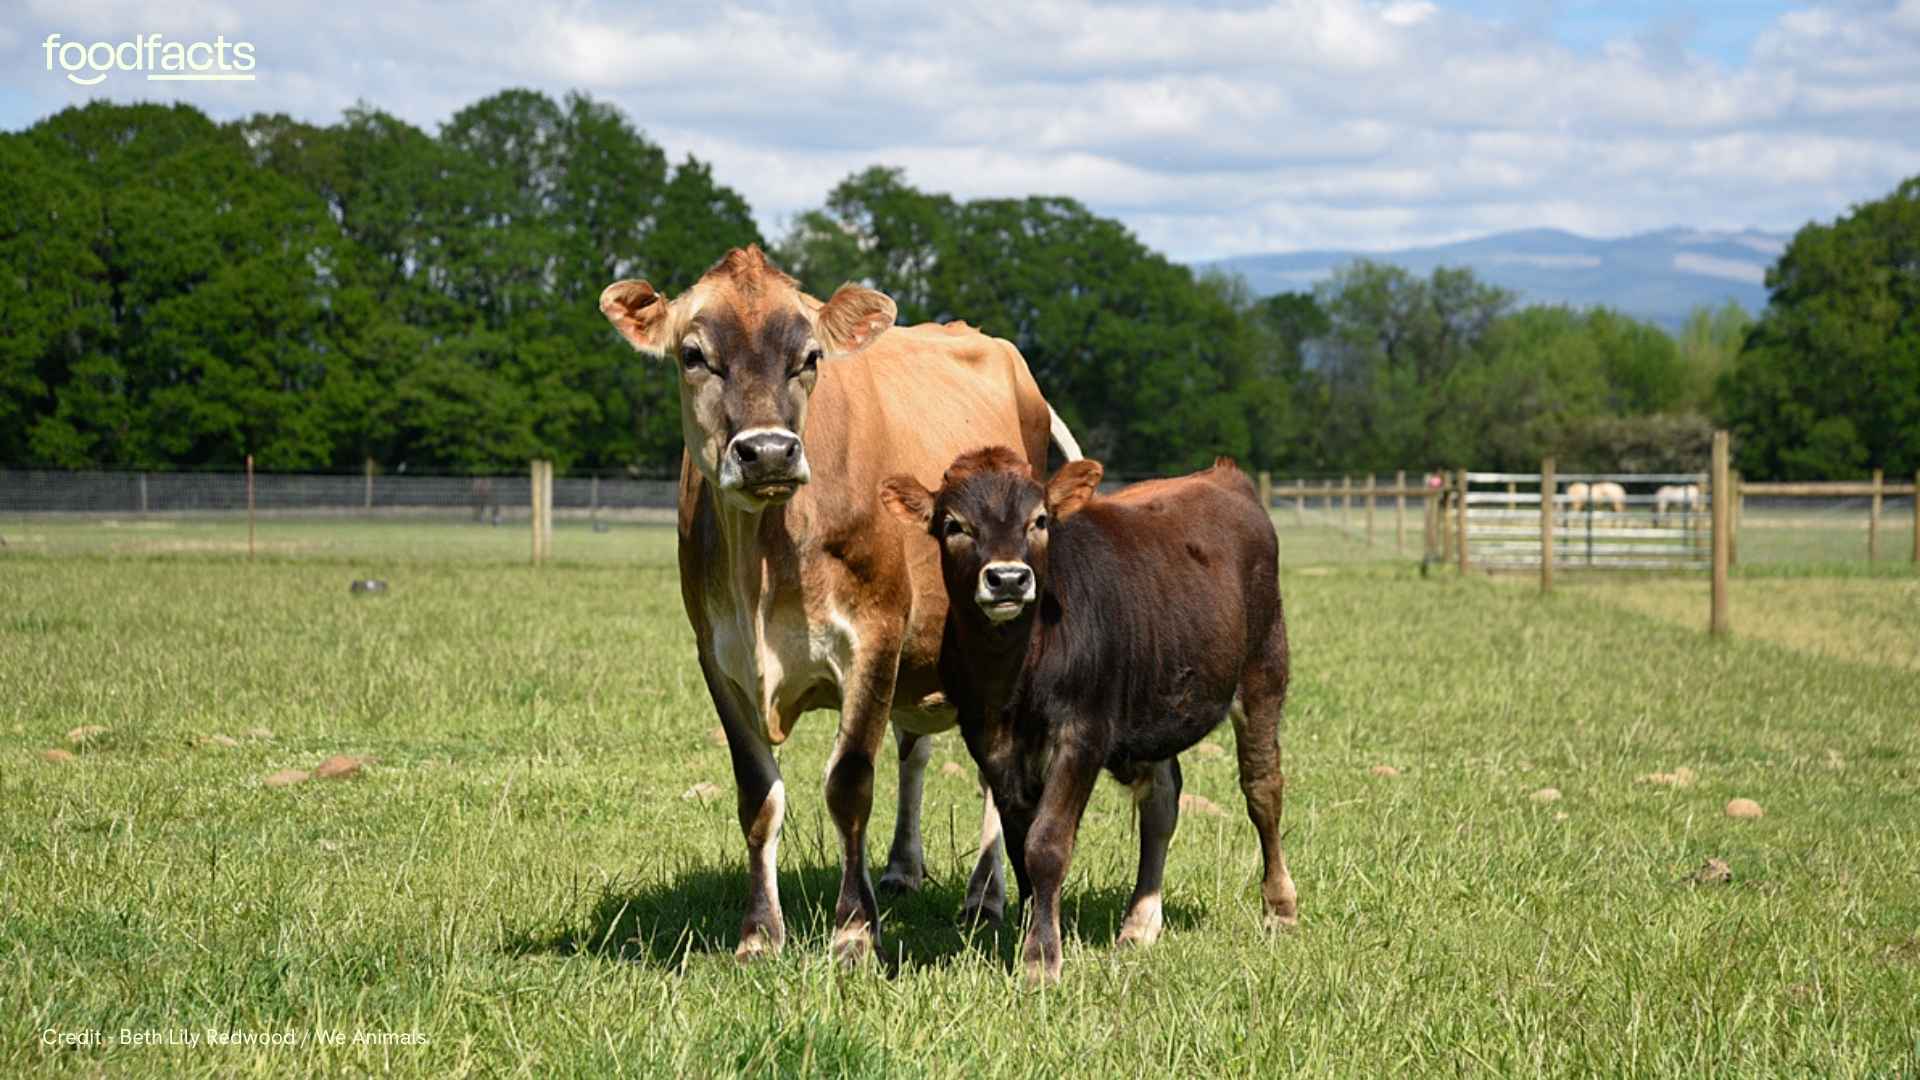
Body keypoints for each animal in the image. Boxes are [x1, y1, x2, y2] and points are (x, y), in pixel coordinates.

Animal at [598, 246, 1076, 963]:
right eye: (693, 354)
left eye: (811, 356)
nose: (768, 451)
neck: (763, 562)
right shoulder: (718, 656)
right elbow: (758, 797)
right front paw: (760, 933)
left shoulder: (875, 636)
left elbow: (850, 784)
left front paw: (853, 931)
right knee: (916, 750)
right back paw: (904, 869)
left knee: (991, 773)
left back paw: (985, 897)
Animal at [879, 449, 1297, 982]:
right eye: (954, 524)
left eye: (1038, 520)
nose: (1009, 578)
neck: (1016, 669)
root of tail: (1223, 475)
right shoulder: (989, 741)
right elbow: (1020, 845)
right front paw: (1033, 932)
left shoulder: (1083, 735)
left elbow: (1047, 843)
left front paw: (1041, 959)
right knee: (1162, 804)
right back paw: (1140, 922)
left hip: (1264, 668)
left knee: (1262, 789)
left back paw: (1279, 907)